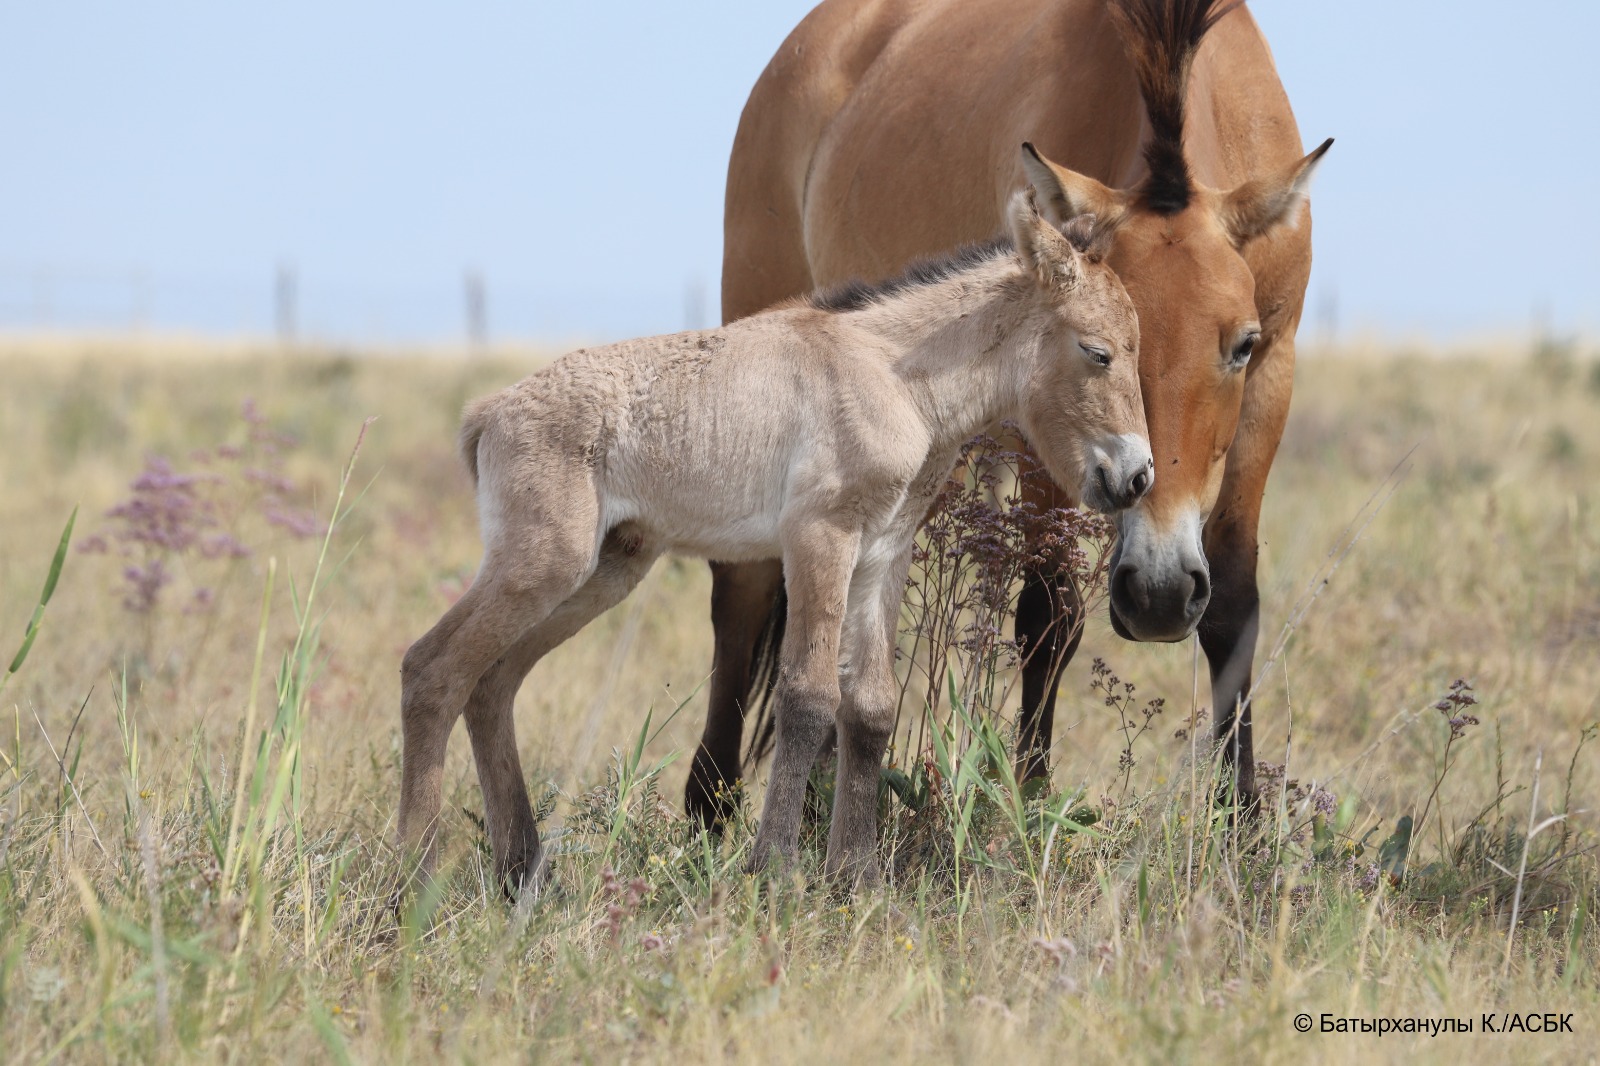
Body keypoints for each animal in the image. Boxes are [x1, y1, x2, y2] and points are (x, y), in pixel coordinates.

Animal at [397, 188, 1152, 892]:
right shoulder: (820, 537)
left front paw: (857, 880)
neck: (894, 377)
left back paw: (522, 874)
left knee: (492, 683)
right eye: (1097, 352)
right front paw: (777, 874)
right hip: (545, 564)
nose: (1137, 477)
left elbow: (871, 707)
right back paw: (412, 881)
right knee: (432, 669)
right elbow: (809, 696)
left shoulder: (882, 553)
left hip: (604, 571)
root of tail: (489, 413)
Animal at [686, 0, 1331, 827]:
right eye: (1087, 348)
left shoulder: (1273, 381)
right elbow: (1049, 612)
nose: (1157, 596)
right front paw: (1028, 803)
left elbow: (1234, 605)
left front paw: (1241, 823)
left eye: (1241, 345)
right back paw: (712, 803)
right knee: (744, 590)